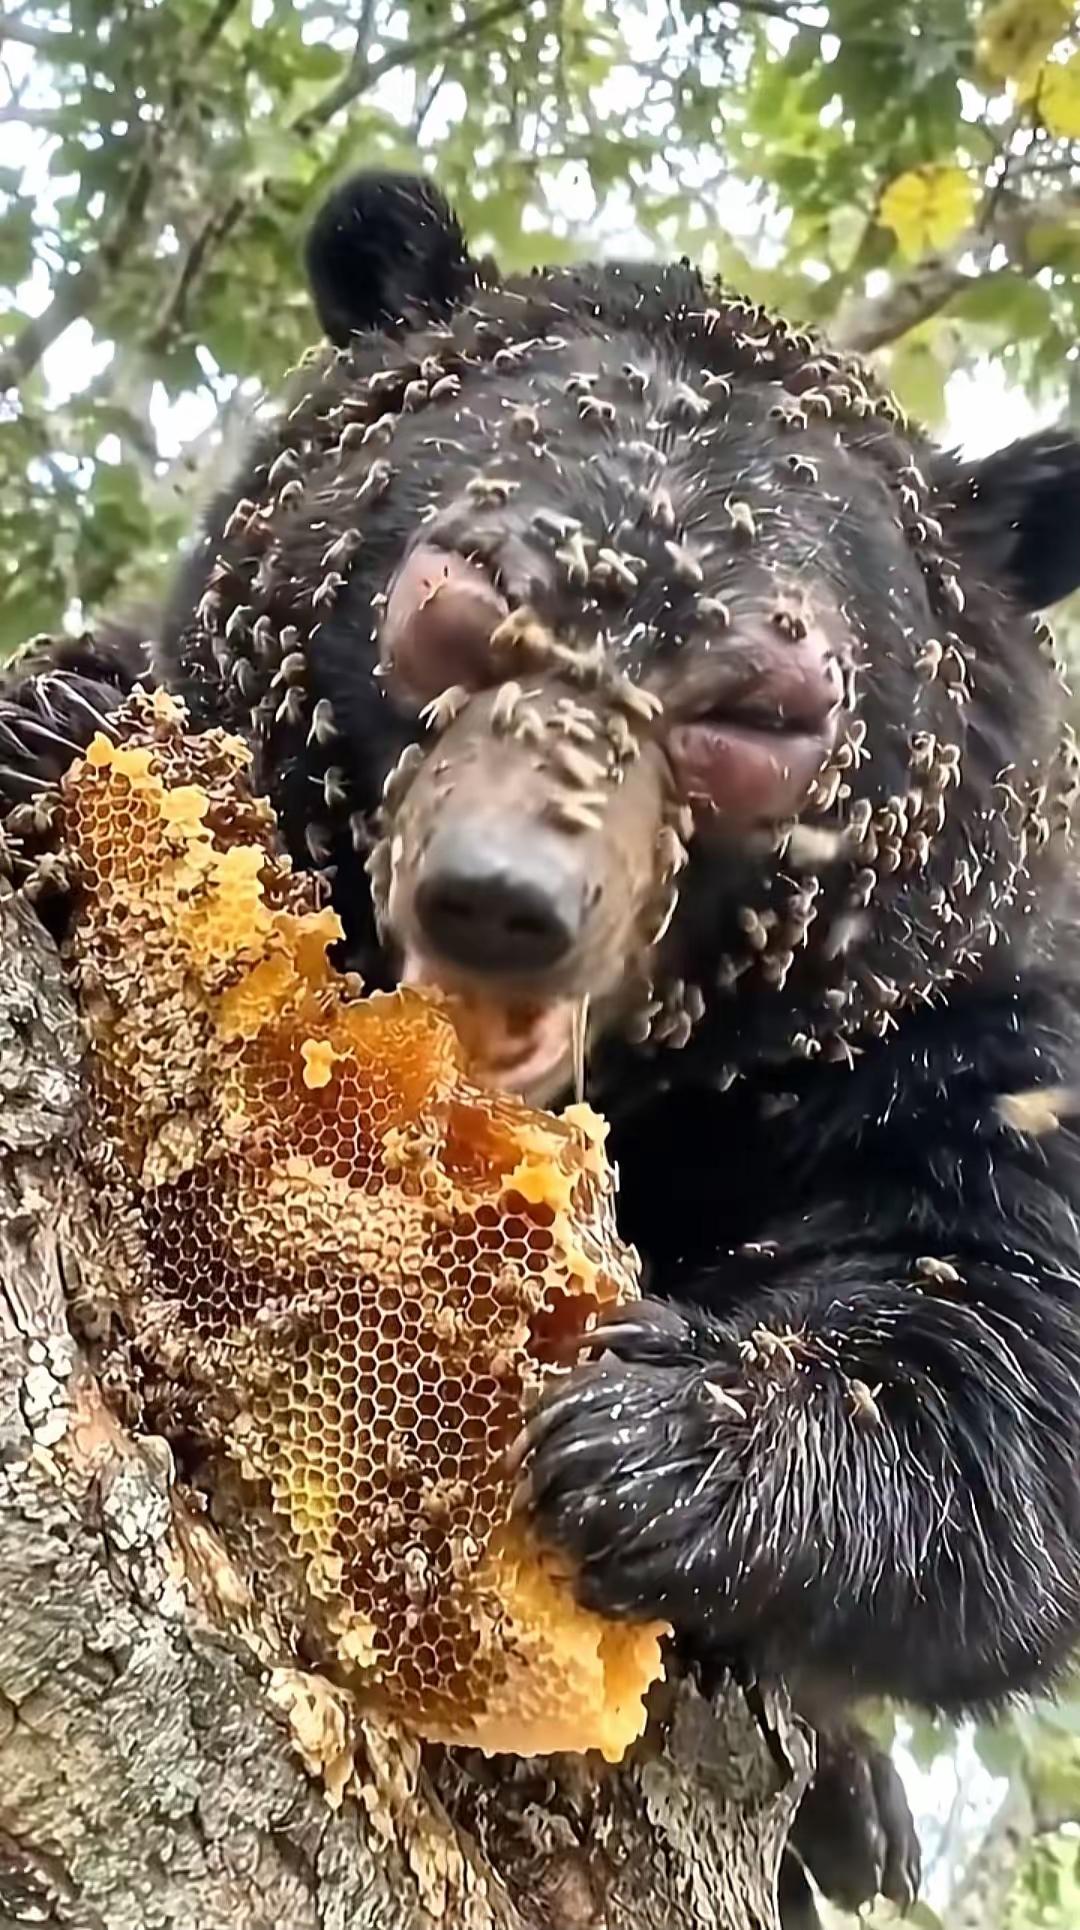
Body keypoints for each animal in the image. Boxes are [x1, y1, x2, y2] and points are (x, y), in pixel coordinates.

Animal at [6, 168, 1080, 1925]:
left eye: (761, 710)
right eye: (457, 604)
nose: (504, 896)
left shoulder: (952, 1024)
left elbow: (1000, 1311)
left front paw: (664, 1433)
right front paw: (63, 734)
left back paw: (854, 1804)